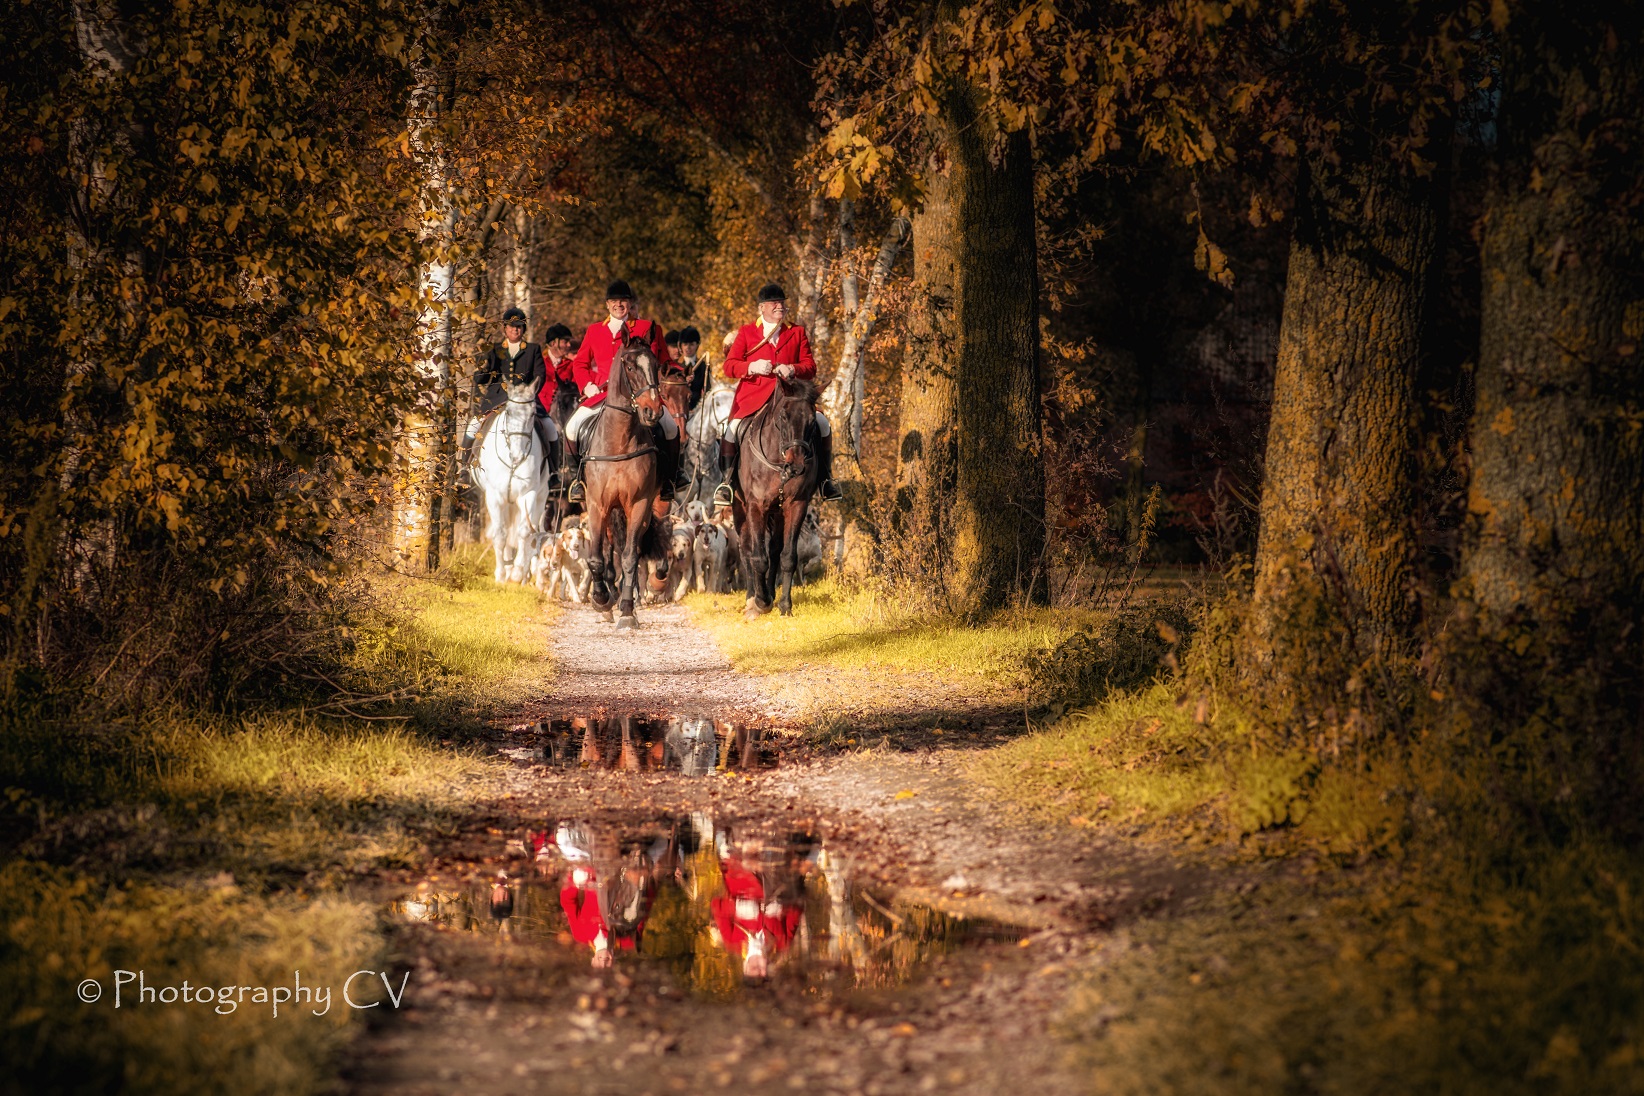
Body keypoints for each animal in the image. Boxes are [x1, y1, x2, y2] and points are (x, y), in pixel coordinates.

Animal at [476, 374, 552, 583]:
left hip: (539, 498)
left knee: (532, 532)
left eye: (533, 413)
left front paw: (518, 573)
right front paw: (501, 574)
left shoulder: (528, 494)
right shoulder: (494, 497)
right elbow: (500, 535)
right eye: (508, 412)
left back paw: (523, 573)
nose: (518, 456)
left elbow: (524, 532)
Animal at [581, 336, 667, 630]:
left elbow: (630, 557)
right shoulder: (597, 505)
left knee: (631, 550)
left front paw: (628, 610)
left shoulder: (639, 504)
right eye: (630, 367)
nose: (652, 411)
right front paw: (600, 600)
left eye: (657, 365)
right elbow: (596, 558)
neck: (620, 438)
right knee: (607, 551)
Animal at [731, 375, 821, 619]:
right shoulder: (755, 506)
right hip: (739, 509)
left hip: (778, 513)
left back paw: (770, 594)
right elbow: (758, 558)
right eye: (783, 415)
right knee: (746, 550)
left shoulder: (796, 506)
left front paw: (784, 605)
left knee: (774, 550)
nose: (796, 466)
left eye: (812, 420)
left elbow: (788, 557)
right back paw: (752, 598)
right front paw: (761, 602)